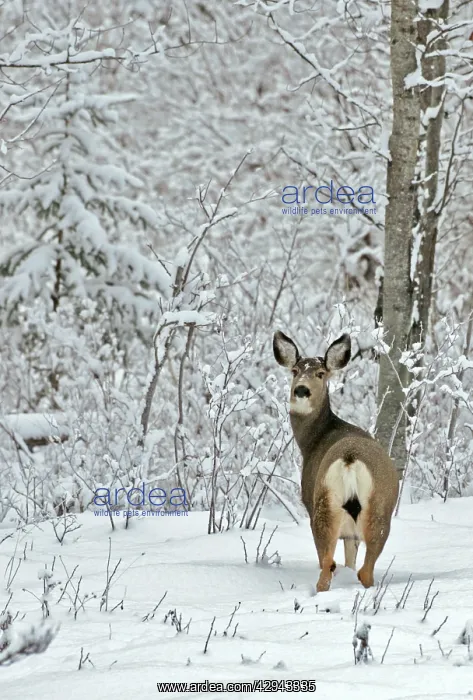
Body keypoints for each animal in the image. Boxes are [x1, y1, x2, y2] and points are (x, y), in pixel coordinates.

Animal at [273, 330, 399, 592]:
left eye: (321, 373)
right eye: (295, 371)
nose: (301, 390)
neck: (315, 439)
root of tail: (350, 459)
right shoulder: (351, 533)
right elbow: (350, 561)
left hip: (322, 507)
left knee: (327, 569)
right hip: (377, 511)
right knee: (363, 569)